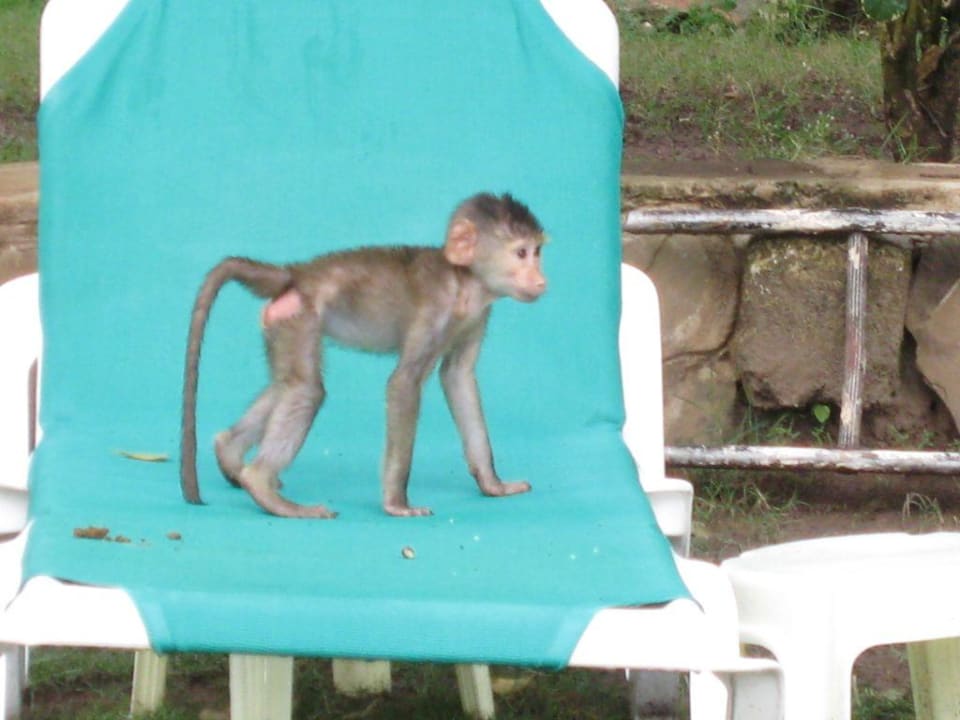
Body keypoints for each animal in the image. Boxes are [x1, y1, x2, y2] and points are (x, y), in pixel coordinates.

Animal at [181, 192, 547, 518]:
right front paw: (397, 504)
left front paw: (493, 484)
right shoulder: (436, 309)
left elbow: (458, 378)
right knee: (306, 390)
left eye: (537, 252)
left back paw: (229, 451)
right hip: (300, 316)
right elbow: (403, 384)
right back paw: (262, 486)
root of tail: (296, 274)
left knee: (288, 385)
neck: (463, 281)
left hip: (281, 320)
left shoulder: (477, 316)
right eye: (521, 253)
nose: (541, 278)